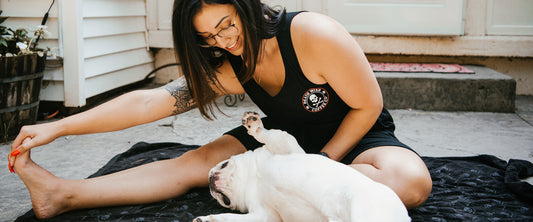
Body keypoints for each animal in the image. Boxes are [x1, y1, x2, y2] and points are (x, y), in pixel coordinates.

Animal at [193, 112, 410, 222]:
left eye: (225, 163)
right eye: (225, 201)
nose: (211, 181)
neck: (251, 179)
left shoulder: (285, 146)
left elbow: (269, 135)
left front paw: (254, 127)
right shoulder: (264, 215)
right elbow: (230, 219)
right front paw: (207, 219)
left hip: (366, 211)